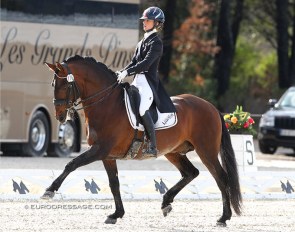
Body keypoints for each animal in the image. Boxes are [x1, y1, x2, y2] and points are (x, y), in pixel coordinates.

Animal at [44, 54, 243, 227]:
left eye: (64, 85)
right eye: (53, 84)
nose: (60, 116)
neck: (106, 104)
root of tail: (211, 106)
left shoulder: (100, 150)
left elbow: (71, 164)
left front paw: (50, 190)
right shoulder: (107, 156)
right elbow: (114, 184)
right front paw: (116, 214)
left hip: (206, 151)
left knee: (221, 178)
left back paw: (223, 217)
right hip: (173, 152)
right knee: (191, 173)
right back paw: (166, 202)